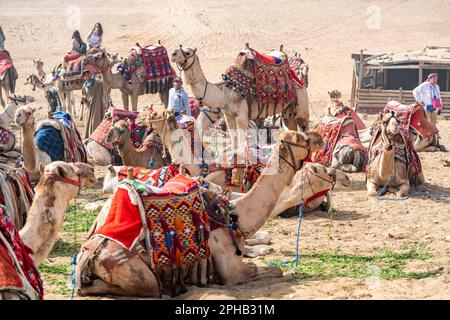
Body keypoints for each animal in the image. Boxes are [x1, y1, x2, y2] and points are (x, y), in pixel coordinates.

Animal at [74, 128, 320, 298]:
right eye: (302, 139)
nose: (317, 136)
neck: (235, 215)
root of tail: (89, 257)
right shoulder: (232, 271)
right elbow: (275, 270)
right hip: (132, 271)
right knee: (147, 287)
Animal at [171, 46, 312, 158]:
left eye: (188, 52)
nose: (173, 54)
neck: (224, 91)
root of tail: (298, 81)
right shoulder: (228, 115)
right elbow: (233, 141)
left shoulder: (242, 115)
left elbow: (241, 141)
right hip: (288, 112)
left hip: (302, 104)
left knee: (304, 128)